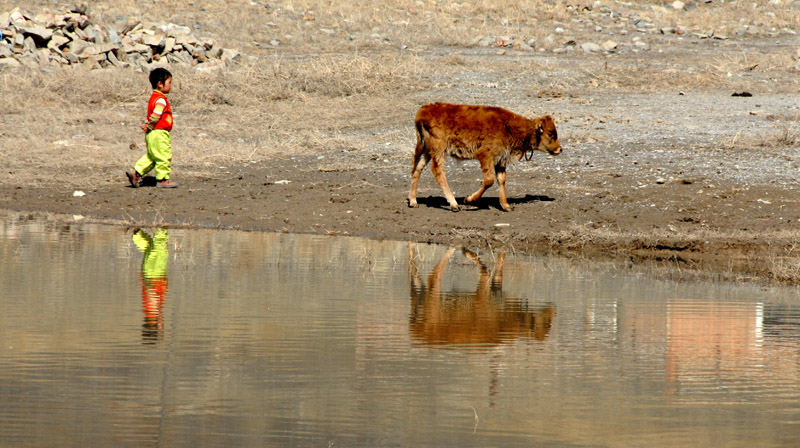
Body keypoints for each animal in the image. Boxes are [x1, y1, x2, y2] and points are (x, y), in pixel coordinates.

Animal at [406, 103, 564, 212]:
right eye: (550, 133)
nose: (560, 149)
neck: (509, 126)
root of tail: (422, 112)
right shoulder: (486, 157)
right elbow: (489, 180)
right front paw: (469, 200)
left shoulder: (501, 160)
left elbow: (501, 180)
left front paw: (506, 205)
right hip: (438, 149)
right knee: (437, 170)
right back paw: (454, 204)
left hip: (427, 149)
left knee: (417, 168)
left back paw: (413, 201)